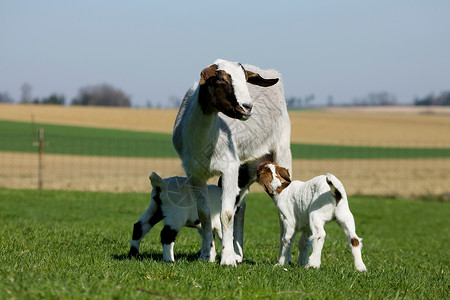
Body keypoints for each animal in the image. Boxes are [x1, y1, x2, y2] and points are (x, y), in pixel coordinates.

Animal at [172, 58, 292, 264]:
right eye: (221, 80)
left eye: (245, 80)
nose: (247, 107)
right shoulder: (195, 173)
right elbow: (204, 214)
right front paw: (207, 254)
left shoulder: (229, 168)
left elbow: (226, 214)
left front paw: (227, 259)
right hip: (245, 169)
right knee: (240, 206)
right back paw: (238, 253)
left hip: (282, 153)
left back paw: (284, 259)